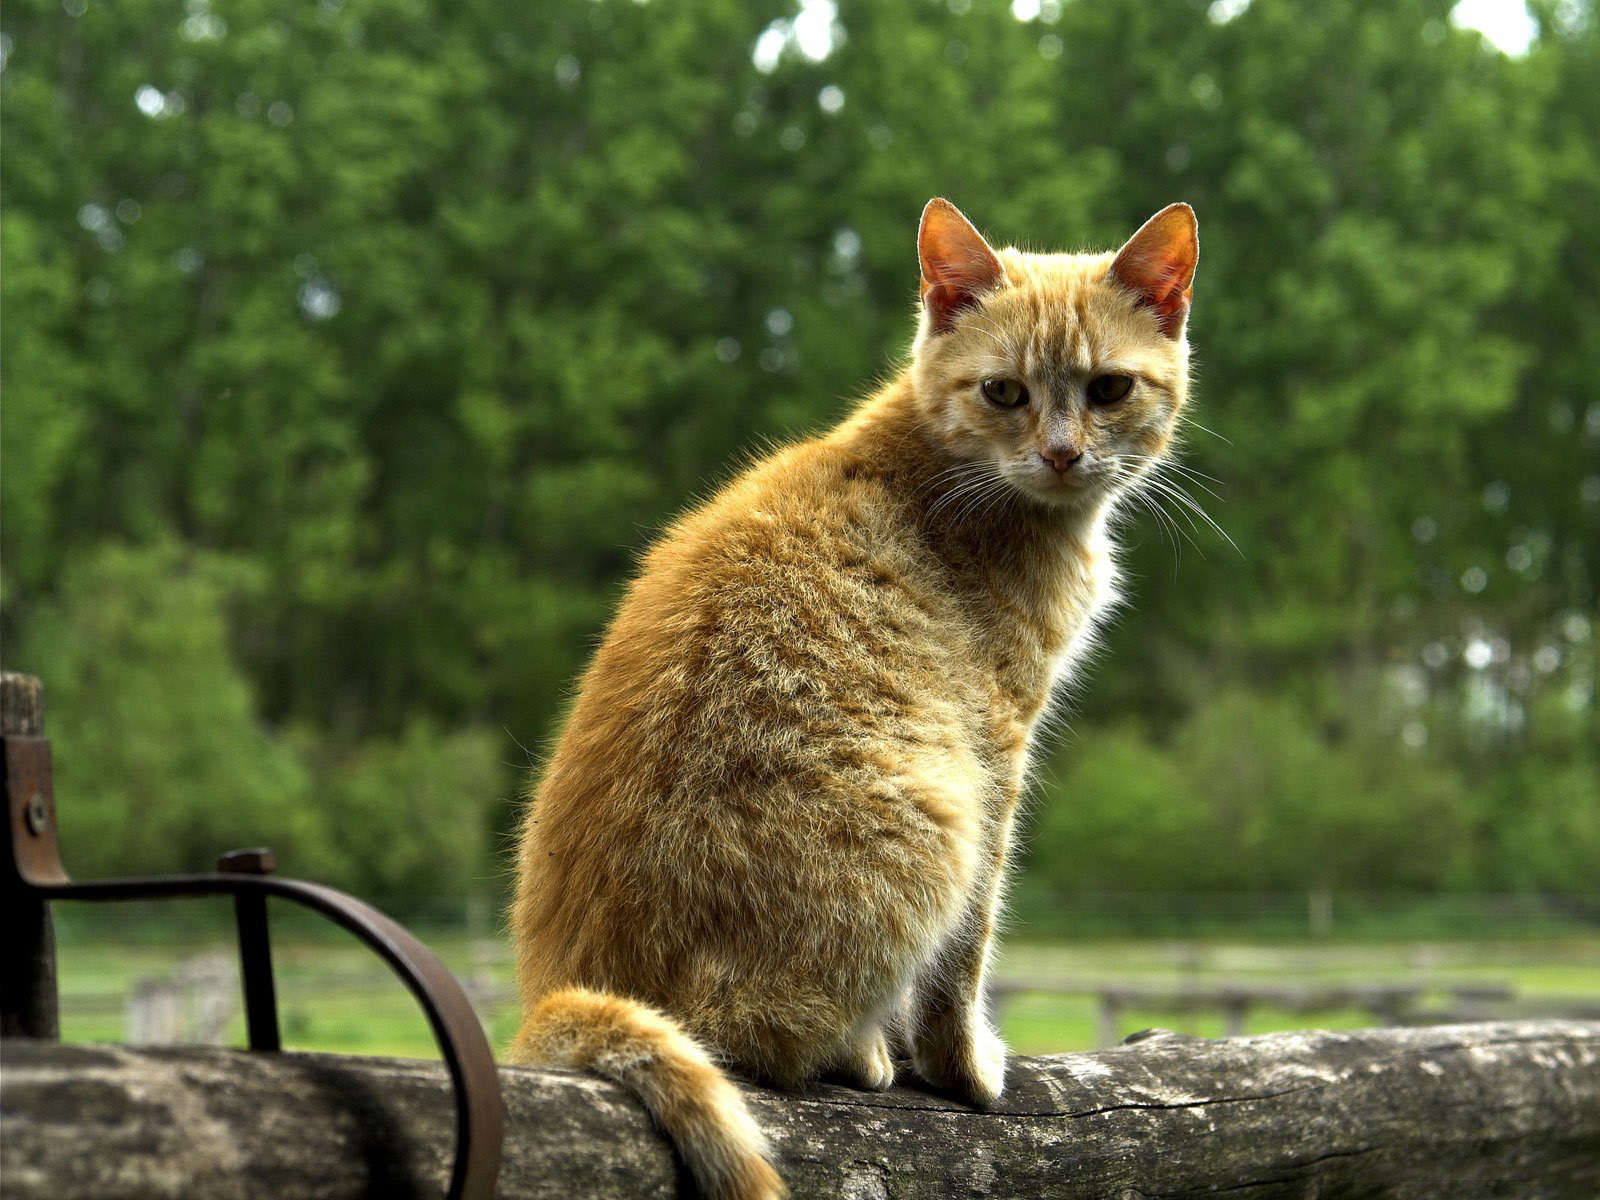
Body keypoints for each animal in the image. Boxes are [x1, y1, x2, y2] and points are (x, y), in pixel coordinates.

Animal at [505, 200, 1196, 1200]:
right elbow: (966, 952)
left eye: (1107, 389)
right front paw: (961, 1068)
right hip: (938, 817)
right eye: (1005, 393)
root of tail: (558, 992)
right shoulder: (995, 748)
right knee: (766, 1043)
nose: (1062, 453)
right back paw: (859, 1051)